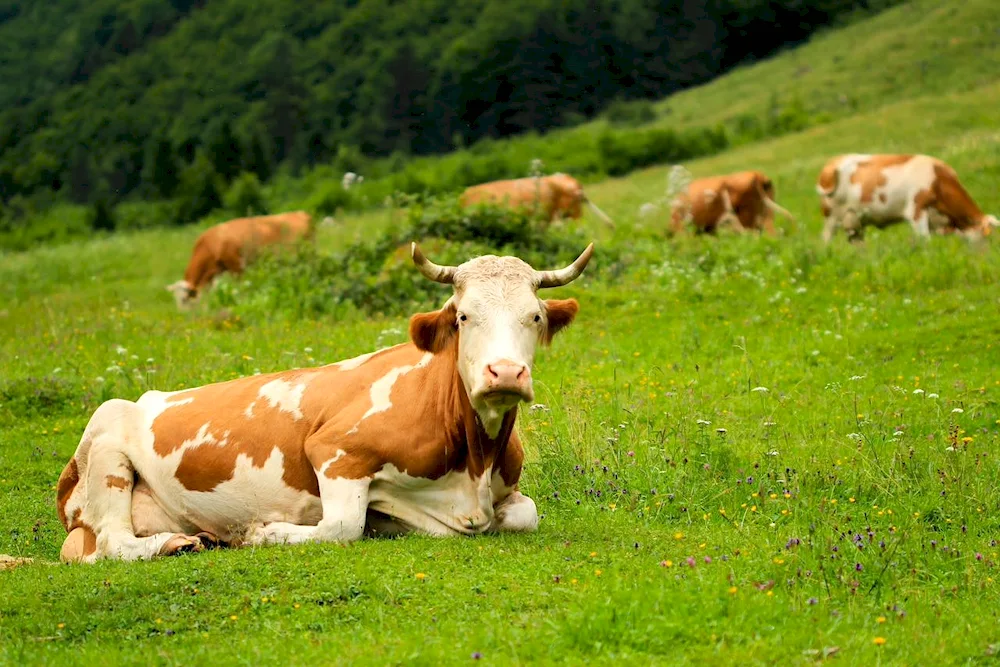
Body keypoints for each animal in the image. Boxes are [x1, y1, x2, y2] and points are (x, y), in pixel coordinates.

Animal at [166, 210, 316, 310]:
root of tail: (300, 213)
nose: (184, 315)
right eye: (176, 300)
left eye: (184, 299)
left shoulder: (236, 266)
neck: (213, 243)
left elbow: (241, 287)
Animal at [816, 153, 996, 243]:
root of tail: (832, 162)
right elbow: (925, 241)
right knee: (826, 240)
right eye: (985, 237)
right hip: (831, 218)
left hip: (853, 221)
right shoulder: (916, 211)